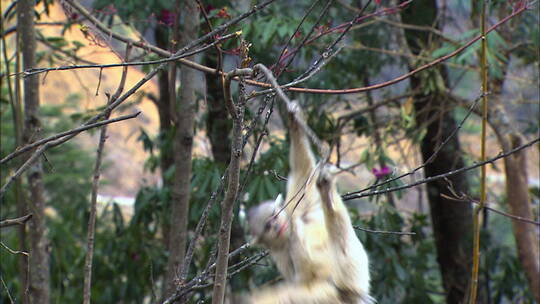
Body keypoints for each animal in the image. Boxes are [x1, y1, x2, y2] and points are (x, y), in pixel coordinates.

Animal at [244, 103, 372, 302]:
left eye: (274, 217)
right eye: (267, 226)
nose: (276, 226)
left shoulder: (298, 209)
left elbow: (302, 171)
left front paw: (294, 121)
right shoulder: (281, 254)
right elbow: (303, 278)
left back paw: (327, 197)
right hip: (347, 280)